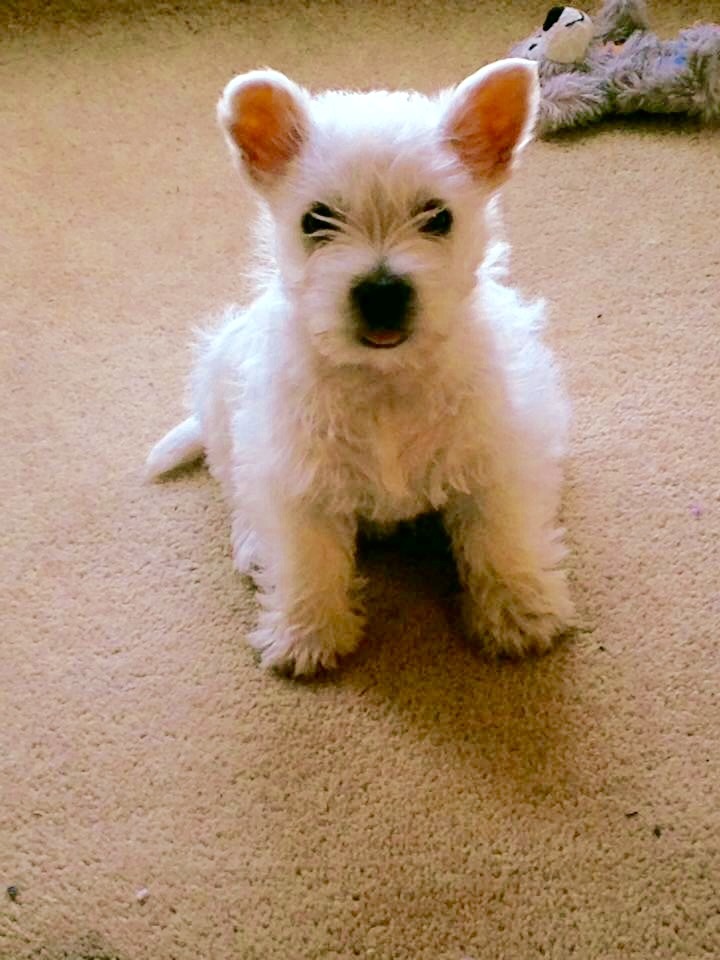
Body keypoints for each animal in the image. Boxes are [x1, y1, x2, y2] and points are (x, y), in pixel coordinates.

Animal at [146, 60, 575, 676]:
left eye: (438, 217)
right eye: (316, 219)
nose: (382, 293)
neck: (385, 381)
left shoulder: (493, 461)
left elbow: (500, 539)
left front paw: (520, 613)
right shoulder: (299, 477)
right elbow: (309, 558)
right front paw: (307, 634)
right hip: (222, 402)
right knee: (235, 484)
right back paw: (253, 542)